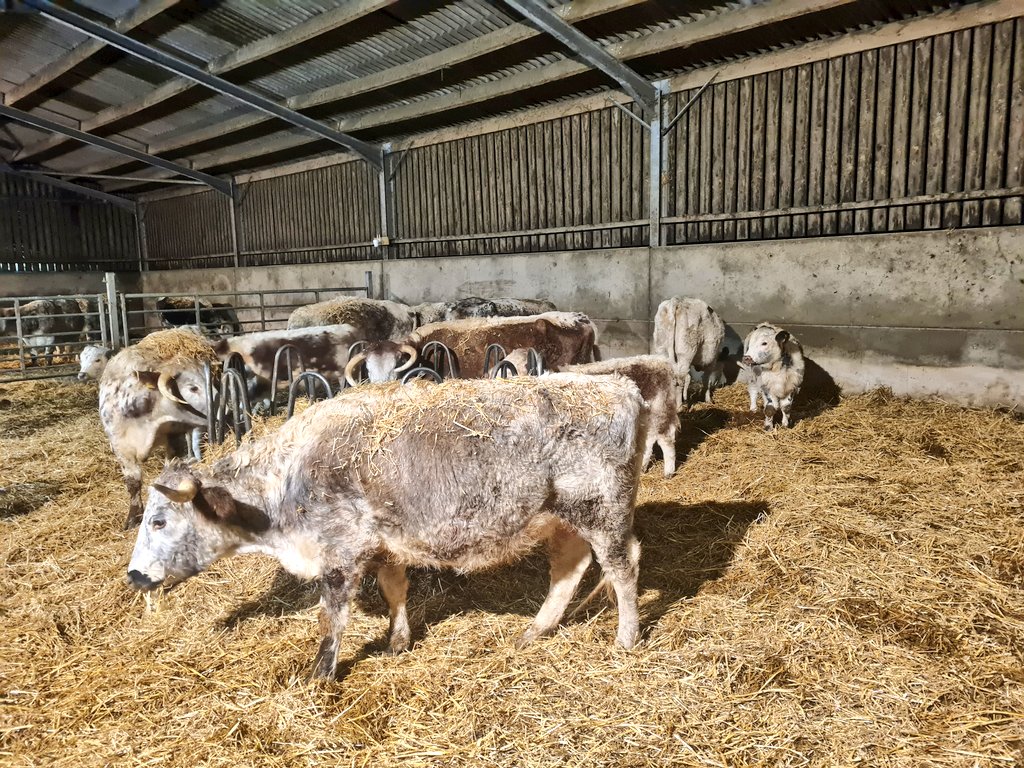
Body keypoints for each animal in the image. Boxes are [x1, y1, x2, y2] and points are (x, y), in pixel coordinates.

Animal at [99, 328, 219, 528]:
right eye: (193, 388)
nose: (222, 409)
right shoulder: (120, 446)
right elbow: (133, 481)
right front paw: (133, 516)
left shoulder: (174, 437)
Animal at [126, 374, 646, 680]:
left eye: (159, 520)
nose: (133, 575)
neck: (286, 480)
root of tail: (620, 385)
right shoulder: (383, 547)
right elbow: (396, 590)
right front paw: (398, 642)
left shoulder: (340, 555)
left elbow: (331, 618)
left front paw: (319, 676)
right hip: (563, 519)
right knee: (569, 570)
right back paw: (536, 630)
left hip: (602, 511)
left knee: (623, 569)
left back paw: (626, 637)